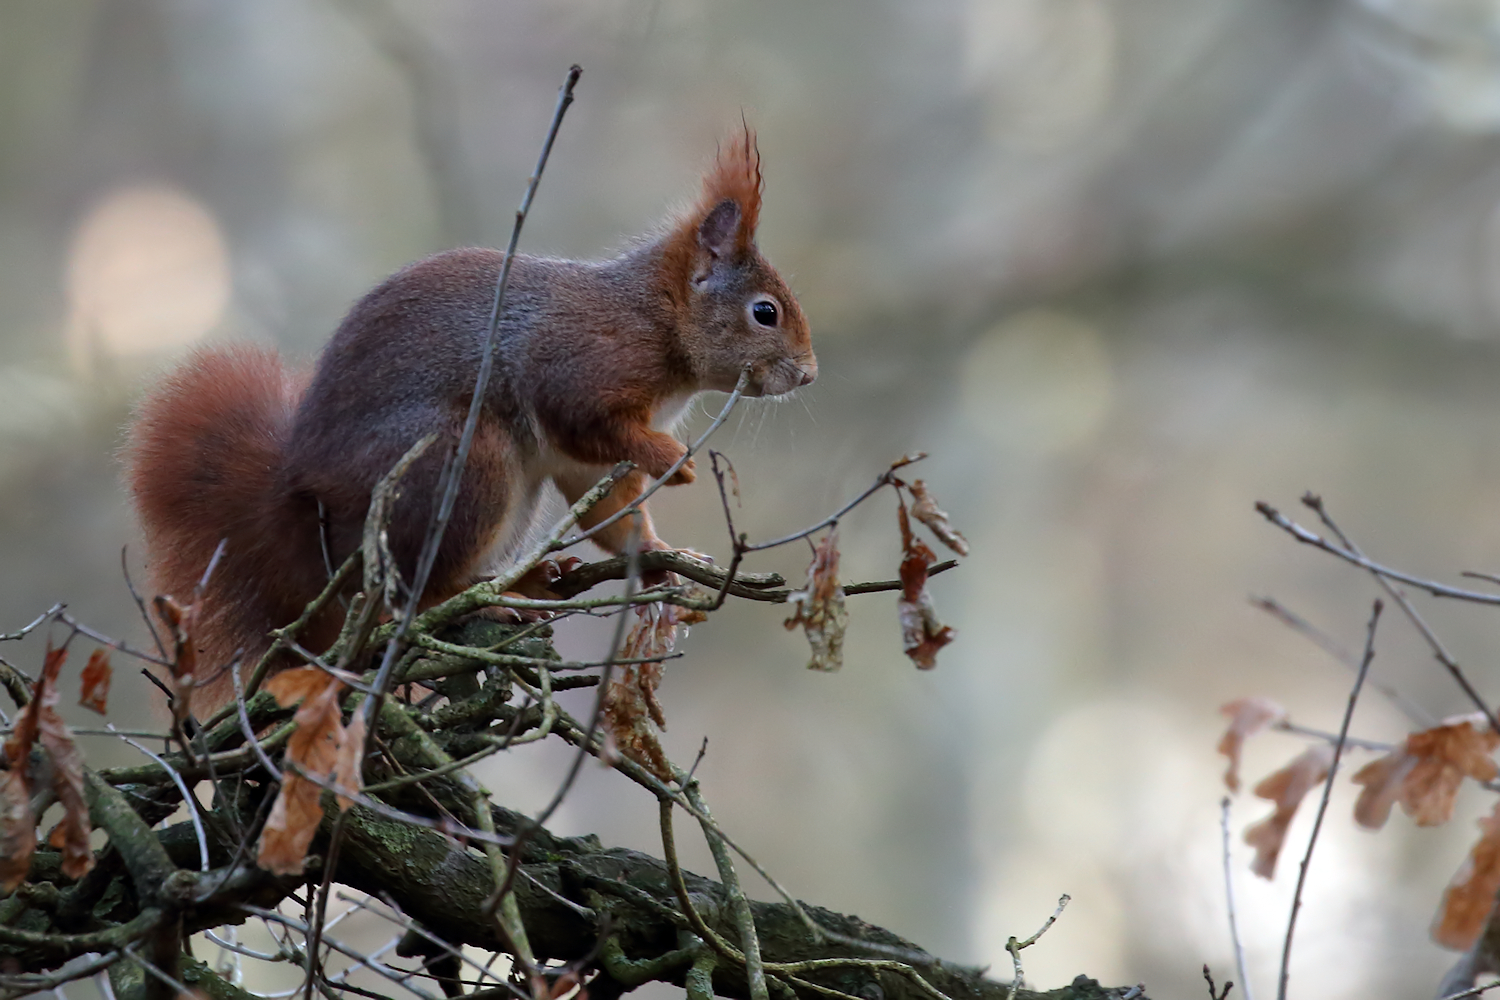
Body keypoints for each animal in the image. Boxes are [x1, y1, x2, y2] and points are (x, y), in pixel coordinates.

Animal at [123, 127, 816, 704]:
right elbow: (585, 417)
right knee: (414, 593)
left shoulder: (582, 464)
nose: (809, 375)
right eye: (765, 312)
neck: (657, 316)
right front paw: (673, 462)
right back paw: (495, 602)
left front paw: (658, 558)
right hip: (464, 463)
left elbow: (612, 509)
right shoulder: (577, 365)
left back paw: (533, 580)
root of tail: (306, 514)